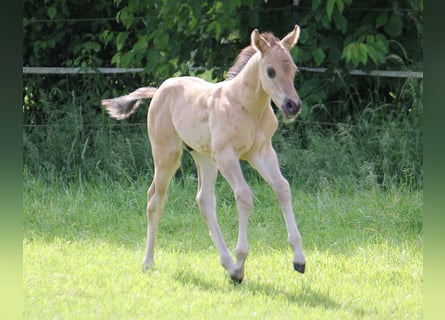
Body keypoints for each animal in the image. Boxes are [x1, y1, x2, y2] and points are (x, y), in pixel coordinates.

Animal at [101, 25, 306, 282]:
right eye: (270, 71)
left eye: (294, 70)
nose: (292, 106)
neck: (247, 107)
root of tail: (158, 91)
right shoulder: (227, 155)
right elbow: (244, 195)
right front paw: (240, 265)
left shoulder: (262, 152)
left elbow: (282, 188)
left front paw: (299, 260)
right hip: (167, 155)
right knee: (156, 200)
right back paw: (148, 263)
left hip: (204, 157)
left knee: (204, 199)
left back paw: (227, 263)